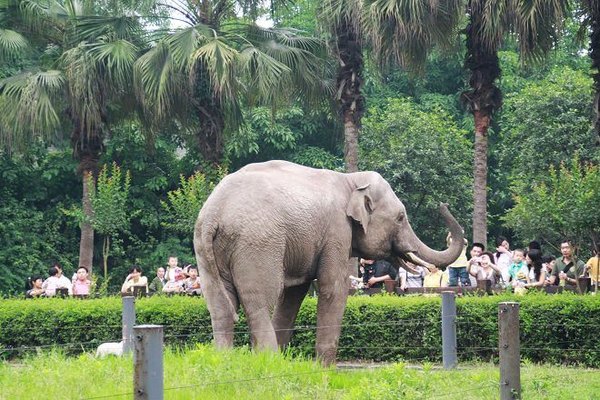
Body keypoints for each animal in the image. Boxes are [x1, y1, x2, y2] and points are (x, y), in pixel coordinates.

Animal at [195, 160, 466, 366]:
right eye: (400, 217)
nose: (443, 204)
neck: (351, 181)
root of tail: (214, 214)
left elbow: (294, 294)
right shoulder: (337, 231)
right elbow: (332, 288)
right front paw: (324, 369)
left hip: (206, 249)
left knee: (221, 306)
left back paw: (224, 361)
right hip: (258, 244)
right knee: (260, 303)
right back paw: (267, 361)